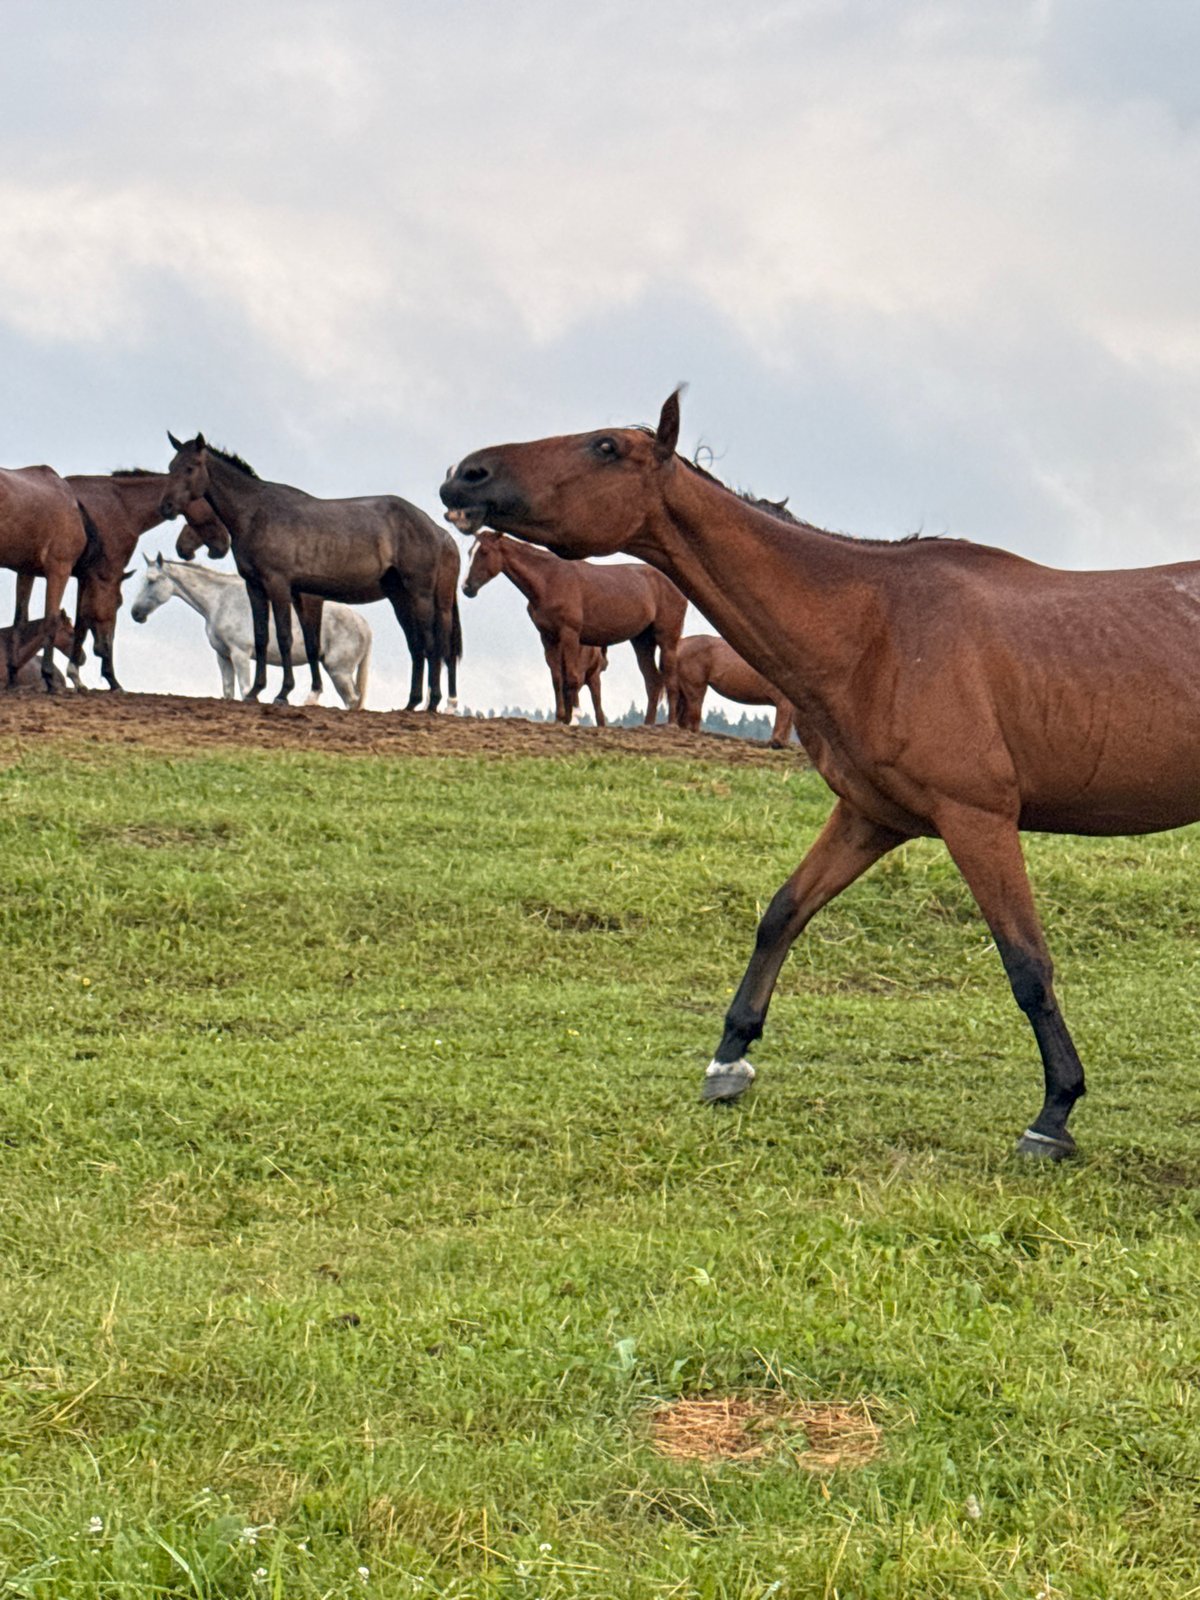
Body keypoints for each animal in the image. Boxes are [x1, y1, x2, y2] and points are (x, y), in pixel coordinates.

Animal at [66, 470, 228, 690]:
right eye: (214, 506)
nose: (225, 544)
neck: (120, 507)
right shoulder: (104, 578)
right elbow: (101, 620)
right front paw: (111, 679)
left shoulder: (86, 577)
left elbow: (81, 624)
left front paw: (76, 675)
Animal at [130, 555, 373, 708]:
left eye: (151, 581)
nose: (135, 614)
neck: (221, 600)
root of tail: (363, 625)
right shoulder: (223, 656)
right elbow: (228, 692)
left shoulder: (240, 655)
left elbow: (245, 689)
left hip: (338, 671)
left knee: (352, 700)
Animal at [158, 435, 461, 711]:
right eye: (171, 466)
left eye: (190, 467)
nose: (166, 507)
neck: (256, 513)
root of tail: (439, 532)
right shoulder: (255, 587)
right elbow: (261, 636)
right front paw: (255, 691)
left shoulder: (279, 584)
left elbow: (284, 637)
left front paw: (283, 693)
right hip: (400, 597)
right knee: (416, 645)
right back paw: (412, 703)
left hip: (421, 596)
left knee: (433, 644)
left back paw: (433, 702)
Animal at [461, 531, 684, 724]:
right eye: (470, 552)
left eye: (484, 552)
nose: (466, 588)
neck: (549, 580)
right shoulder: (548, 638)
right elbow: (556, 678)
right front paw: (560, 718)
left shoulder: (570, 634)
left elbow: (572, 678)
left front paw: (573, 718)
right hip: (642, 641)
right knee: (653, 682)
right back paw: (647, 725)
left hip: (667, 640)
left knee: (670, 681)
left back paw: (671, 724)